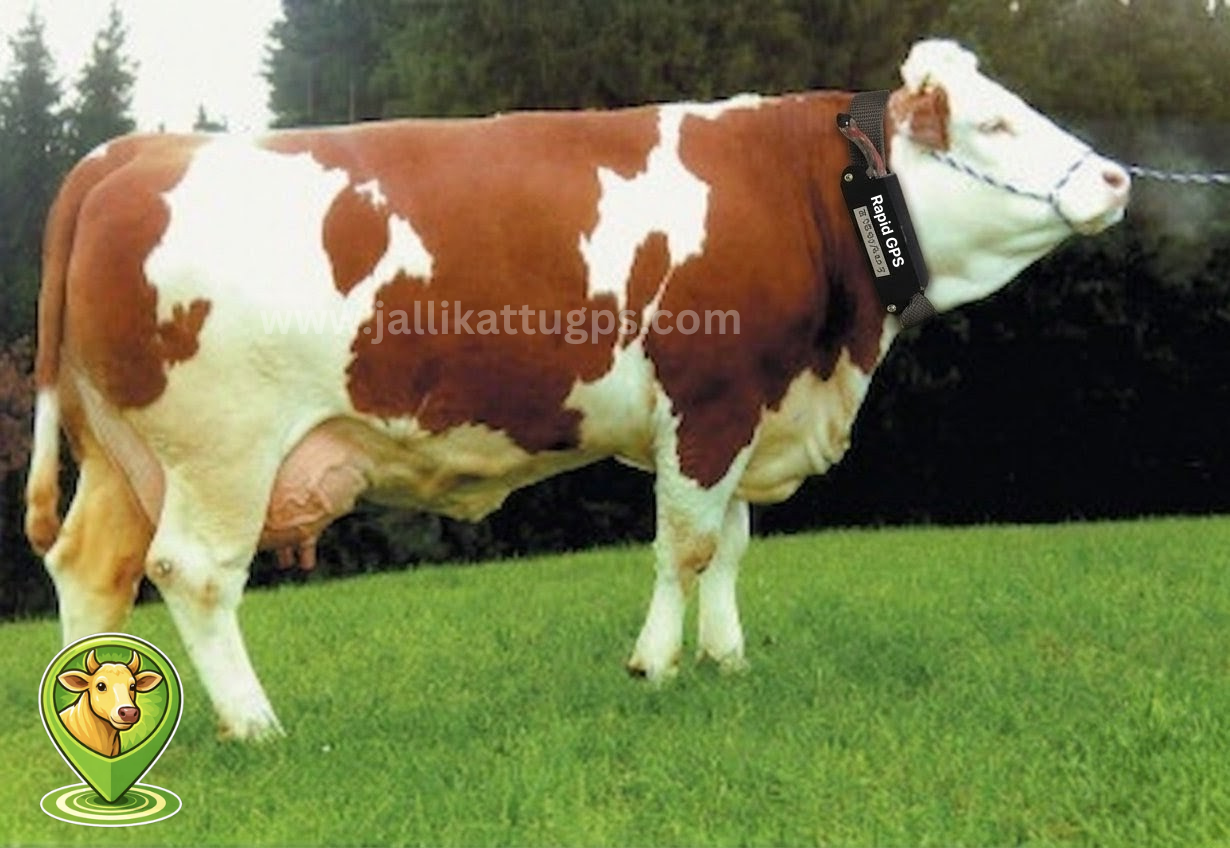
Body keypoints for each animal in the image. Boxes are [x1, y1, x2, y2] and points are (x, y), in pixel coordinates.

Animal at [24, 40, 1129, 740]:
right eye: (996, 123)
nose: (1117, 178)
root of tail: (133, 150)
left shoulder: (746, 411)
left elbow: (729, 542)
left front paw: (727, 660)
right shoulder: (711, 398)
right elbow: (687, 545)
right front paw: (657, 665)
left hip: (120, 455)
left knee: (91, 566)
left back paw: (94, 715)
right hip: (222, 448)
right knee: (195, 573)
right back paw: (255, 725)